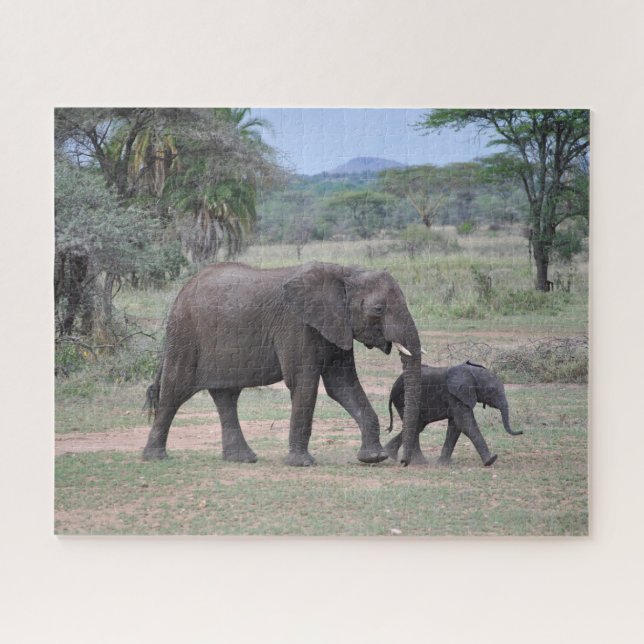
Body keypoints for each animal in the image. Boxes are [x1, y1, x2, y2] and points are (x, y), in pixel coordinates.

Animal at [143, 261, 423, 466]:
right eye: (378, 309)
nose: (403, 462)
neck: (344, 272)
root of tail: (183, 290)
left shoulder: (335, 325)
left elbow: (343, 385)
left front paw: (373, 458)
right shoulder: (297, 325)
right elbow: (305, 383)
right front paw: (302, 464)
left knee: (226, 395)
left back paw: (242, 459)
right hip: (185, 332)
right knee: (175, 391)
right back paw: (155, 458)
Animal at [384, 361, 522, 466]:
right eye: (492, 390)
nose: (521, 432)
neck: (471, 372)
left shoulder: (457, 397)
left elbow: (455, 425)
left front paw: (443, 464)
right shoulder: (454, 395)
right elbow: (464, 423)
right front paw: (491, 460)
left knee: (418, 425)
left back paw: (393, 455)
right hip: (403, 398)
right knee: (416, 425)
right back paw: (415, 461)